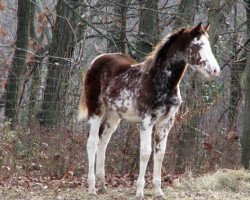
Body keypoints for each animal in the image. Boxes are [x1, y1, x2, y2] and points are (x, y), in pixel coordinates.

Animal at [78, 23, 221, 198]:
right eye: (198, 45)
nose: (215, 70)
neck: (160, 82)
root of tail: (96, 60)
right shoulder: (147, 121)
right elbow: (145, 153)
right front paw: (139, 192)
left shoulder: (166, 122)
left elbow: (159, 154)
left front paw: (159, 192)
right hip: (96, 110)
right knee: (92, 142)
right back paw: (92, 188)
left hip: (113, 116)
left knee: (103, 142)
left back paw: (103, 185)